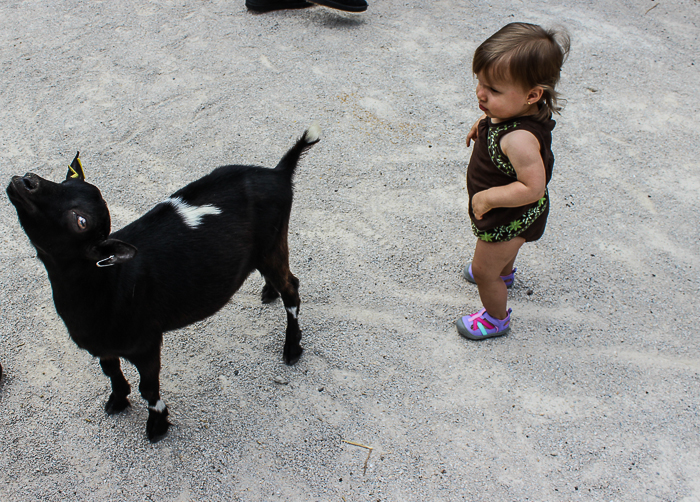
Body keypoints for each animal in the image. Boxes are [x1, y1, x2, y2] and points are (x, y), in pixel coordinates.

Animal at [6, 125, 318, 440]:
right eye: (64, 180)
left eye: (80, 221)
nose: (27, 180)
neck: (110, 282)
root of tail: (279, 172)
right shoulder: (103, 346)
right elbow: (111, 370)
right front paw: (117, 400)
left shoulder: (146, 342)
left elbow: (148, 388)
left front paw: (157, 425)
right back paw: (269, 292)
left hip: (272, 243)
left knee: (292, 288)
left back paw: (292, 348)